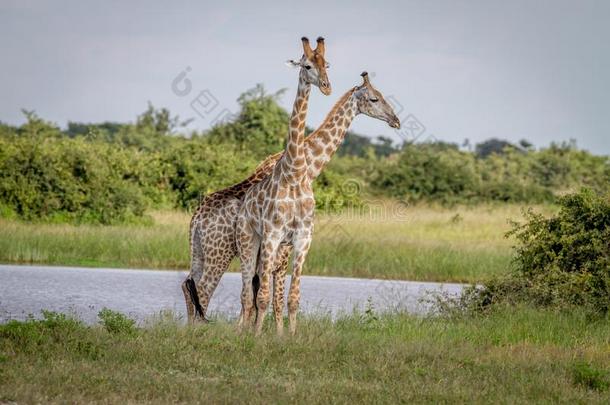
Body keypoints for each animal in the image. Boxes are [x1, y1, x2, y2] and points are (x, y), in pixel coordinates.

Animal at [235, 72, 402, 334]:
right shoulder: (280, 240)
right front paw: (272, 333)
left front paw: (279, 334)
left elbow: (278, 293)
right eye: (374, 98)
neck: (308, 163)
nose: (395, 120)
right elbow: (274, 292)